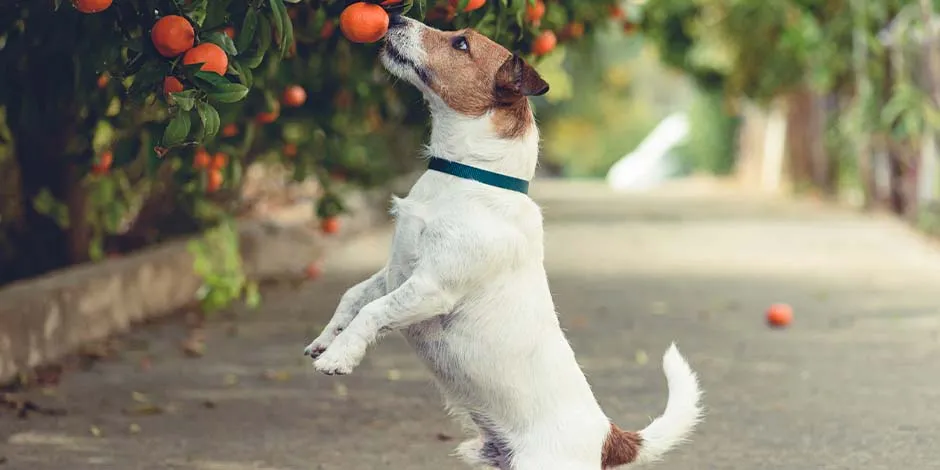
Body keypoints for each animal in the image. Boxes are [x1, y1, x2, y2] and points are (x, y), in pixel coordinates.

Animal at [304, 14, 700, 470]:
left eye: (461, 44)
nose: (396, 16)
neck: (468, 176)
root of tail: (608, 436)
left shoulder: (430, 288)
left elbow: (372, 312)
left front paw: (340, 357)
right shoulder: (394, 272)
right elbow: (353, 297)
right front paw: (326, 340)